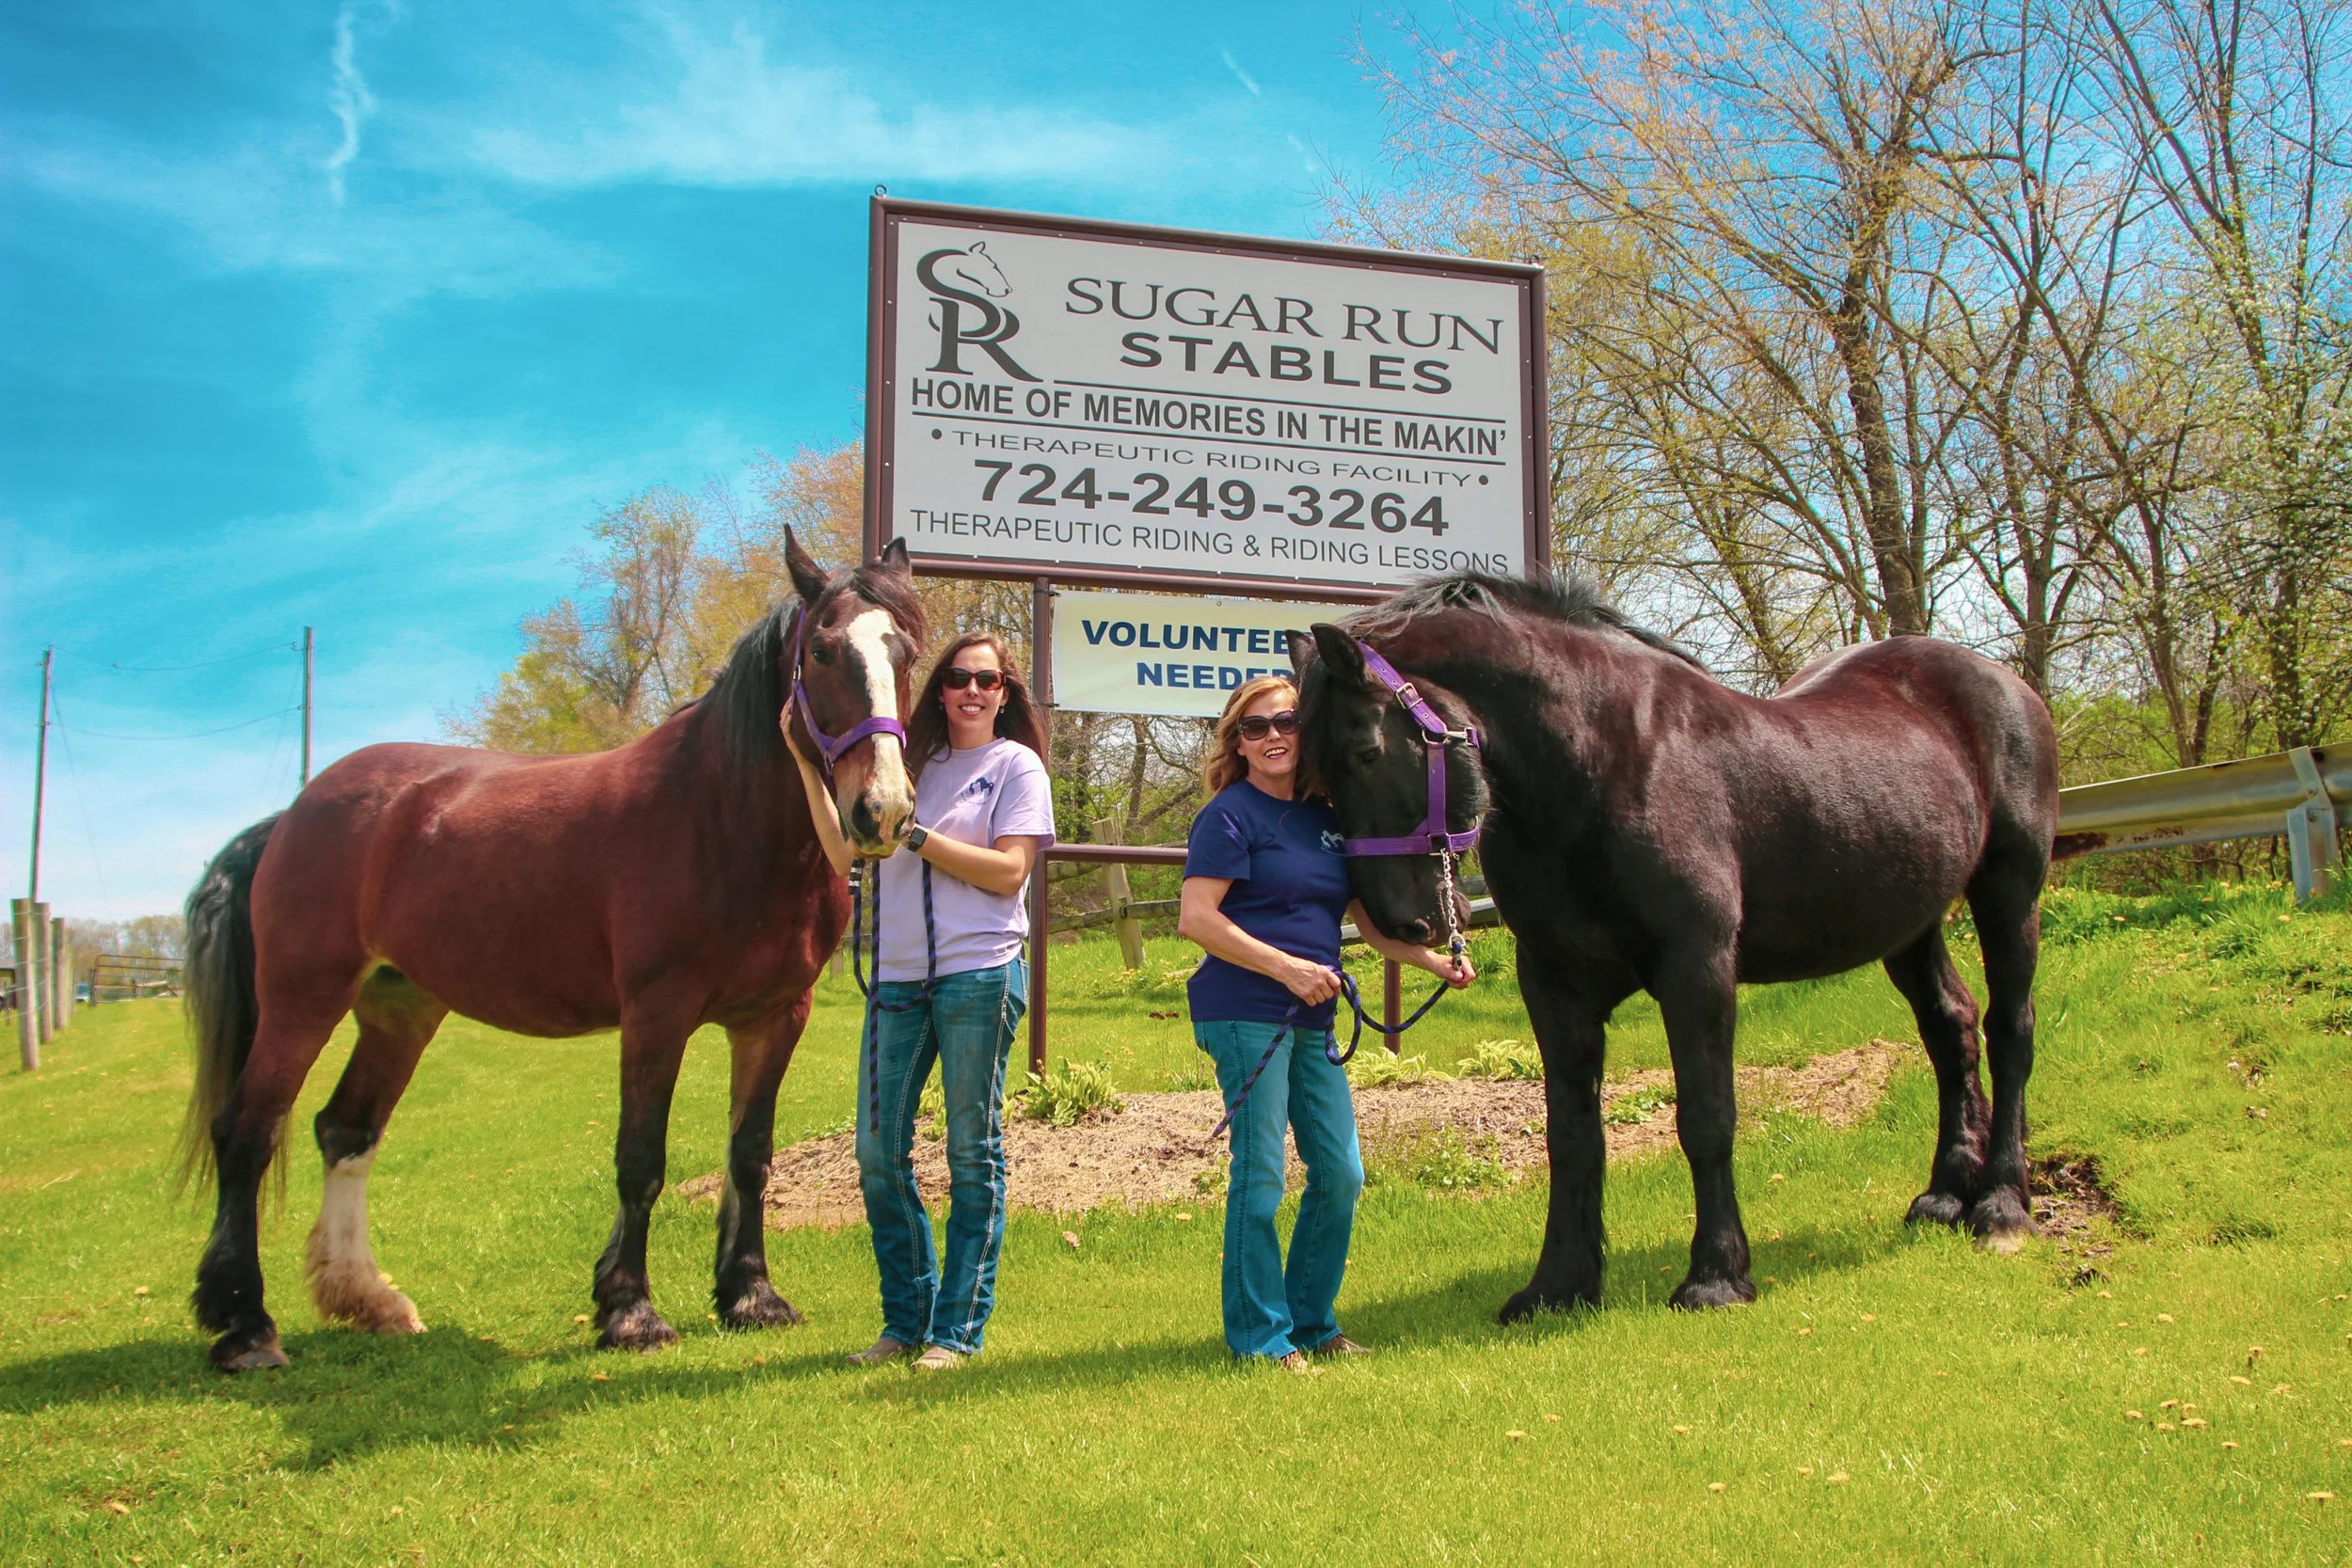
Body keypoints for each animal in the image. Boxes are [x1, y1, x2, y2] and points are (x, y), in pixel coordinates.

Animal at [178, 533, 923, 1371]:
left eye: (906, 652)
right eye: (824, 651)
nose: (883, 810)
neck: (722, 815)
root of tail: (291, 814)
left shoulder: (775, 1016)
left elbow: (750, 1154)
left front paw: (750, 1296)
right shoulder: (656, 1013)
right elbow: (641, 1159)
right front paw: (629, 1310)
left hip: (398, 1010)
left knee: (346, 1129)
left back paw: (367, 1298)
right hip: (301, 1001)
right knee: (247, 1132)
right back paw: (246, 1325)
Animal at [1291, 571, 2057, 1320]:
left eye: (1365, 751)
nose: (1398, 921)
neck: (1602, 768)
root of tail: (2003, 682)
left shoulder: (1697, 969)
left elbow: (1706, 1116)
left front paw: (1716, 1277)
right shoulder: (1555, 986)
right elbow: (1571, 1134)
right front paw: (1558, 1286)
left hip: (2010, 889)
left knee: (2010, 1030)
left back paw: (2000, 1205)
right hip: (1911, 923)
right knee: (1951, 1028)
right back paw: (1946, 1193)